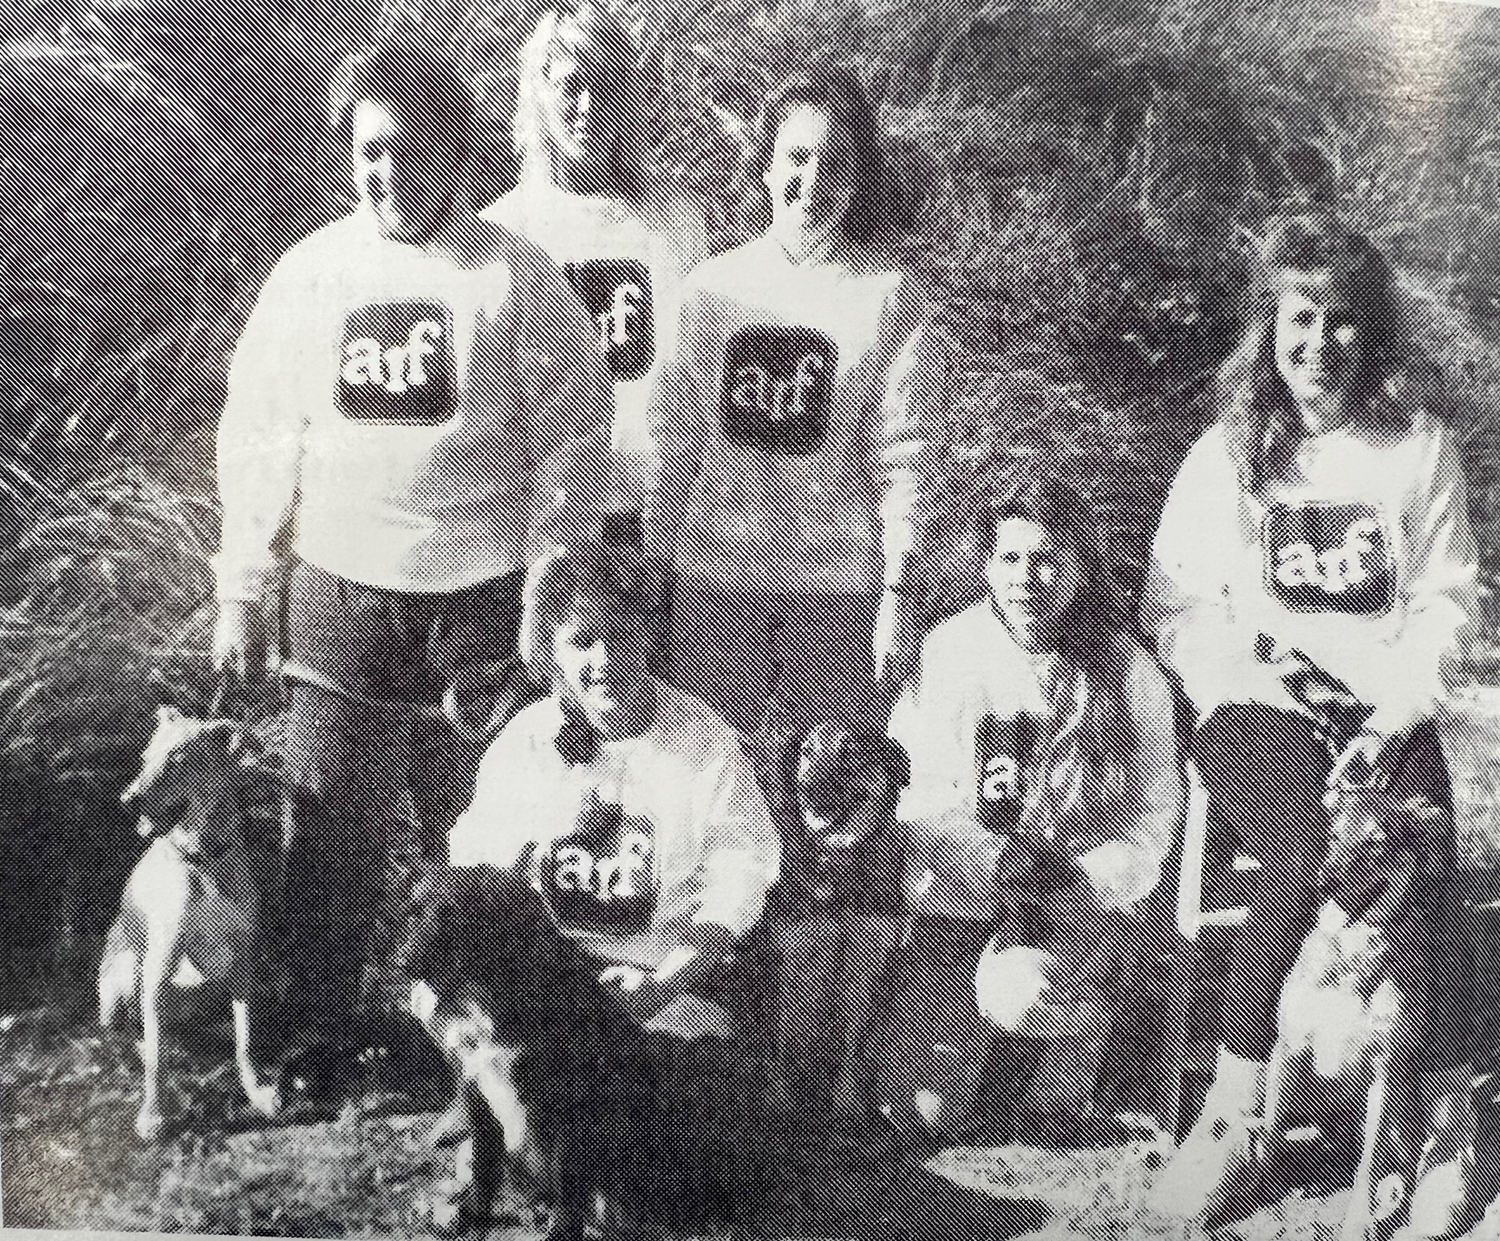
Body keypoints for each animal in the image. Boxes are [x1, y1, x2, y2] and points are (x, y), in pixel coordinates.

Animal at [97, 708, 283, 1146]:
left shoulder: (244, 962)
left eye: (178, 760)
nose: (127, 799)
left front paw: (255, 1090)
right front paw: (153, 1114)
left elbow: (245, 1037)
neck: (204, 861)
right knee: (132, 1035)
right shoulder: (158, 968)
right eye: (145, 758)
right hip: (125, 976)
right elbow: (157, 1061)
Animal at [768, 723, 906, 1122]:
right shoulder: (794, 954)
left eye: (853, 753)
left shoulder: (869, 960)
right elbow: (786, 1034)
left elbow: (855, 1040)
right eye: (807, 751)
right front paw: (780, 1097)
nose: (811, 785)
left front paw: (847, 1101)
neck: (838, 865)